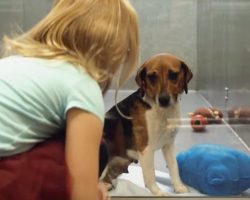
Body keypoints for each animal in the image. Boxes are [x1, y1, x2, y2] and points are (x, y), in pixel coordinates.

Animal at [101, 52, 193, 195]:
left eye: (173, 75)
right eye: (152, 77)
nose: (163, 99)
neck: (162, 112)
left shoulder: (168, 145)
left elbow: (174, 167)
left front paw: (178, 187)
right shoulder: (146, 149)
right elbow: (151, 174)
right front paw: (157, 192)